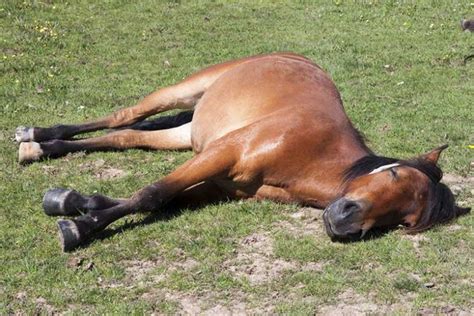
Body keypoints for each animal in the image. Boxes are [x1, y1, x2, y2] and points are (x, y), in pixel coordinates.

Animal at [15, 51, 470, 251]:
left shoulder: (220, 184)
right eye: (393, 173)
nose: (346, 221)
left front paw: (75, 202)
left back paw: (39, 146)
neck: (312, 155)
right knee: (125, 116)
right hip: (185, 91)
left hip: (189, 133)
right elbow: (153, 194)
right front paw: (79, 228)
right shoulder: (223, 153)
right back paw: (32, 134)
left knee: (127, 135)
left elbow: (164, 199)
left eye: (404, 221)